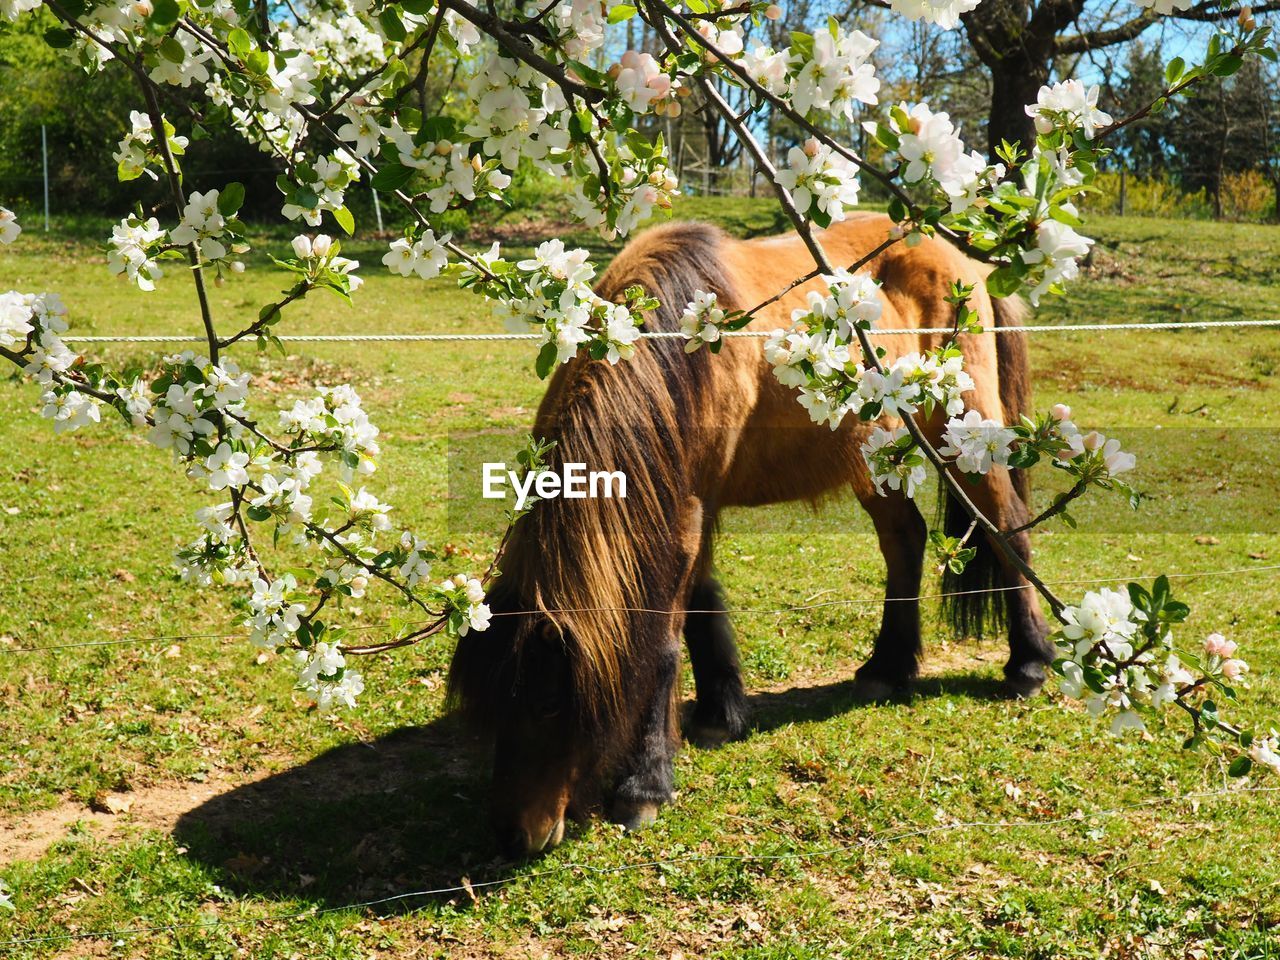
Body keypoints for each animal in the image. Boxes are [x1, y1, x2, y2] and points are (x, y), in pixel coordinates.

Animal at [445, 216, 1054, 855]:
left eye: (548, 702)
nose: (513, 835)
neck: (681, 352)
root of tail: (968, 264)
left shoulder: (687, 511)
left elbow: (664, 643)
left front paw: (645, 786)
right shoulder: (693, 505)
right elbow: (701, 608)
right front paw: (719, 714)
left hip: (966, 433)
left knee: (1008, 534)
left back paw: (1028, 666)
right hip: (876, 456)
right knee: (904, 542)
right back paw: (887, 668)